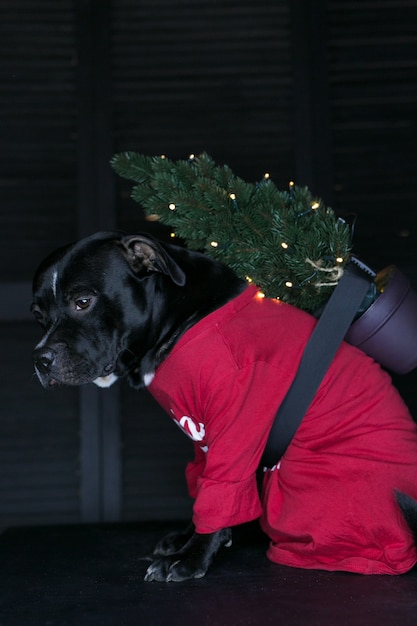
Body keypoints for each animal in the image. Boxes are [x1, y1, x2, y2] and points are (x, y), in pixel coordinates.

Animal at [31, 229, 416, 580]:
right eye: (38, 316)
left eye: (83, 302)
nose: (40, 359)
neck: (177, 318)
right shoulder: (202, 433)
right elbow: (204, 484)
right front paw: (188, 539)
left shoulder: (236, 422)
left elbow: (223, 486)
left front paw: (190, 558)